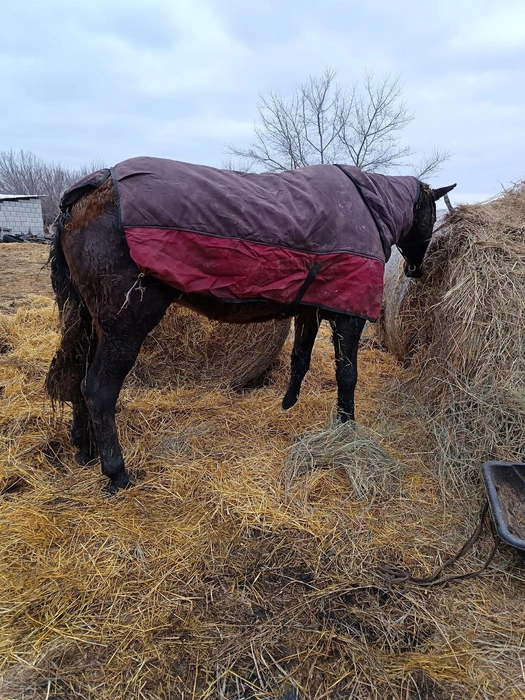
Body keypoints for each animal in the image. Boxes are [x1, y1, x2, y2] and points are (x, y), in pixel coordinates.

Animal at [46, 156, 454, 490]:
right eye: (433, 215)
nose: (415, 270)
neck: (367, 205)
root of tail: (92, 189)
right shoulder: (347, 317)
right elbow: (347, 376)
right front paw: (345, 427)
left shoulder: (309, 309)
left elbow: (301, 358)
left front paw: (288, 405)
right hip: (124, 323)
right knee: (98, 391)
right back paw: (116, 473)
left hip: (91, 320)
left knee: (78, 378)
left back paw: (84, 450)